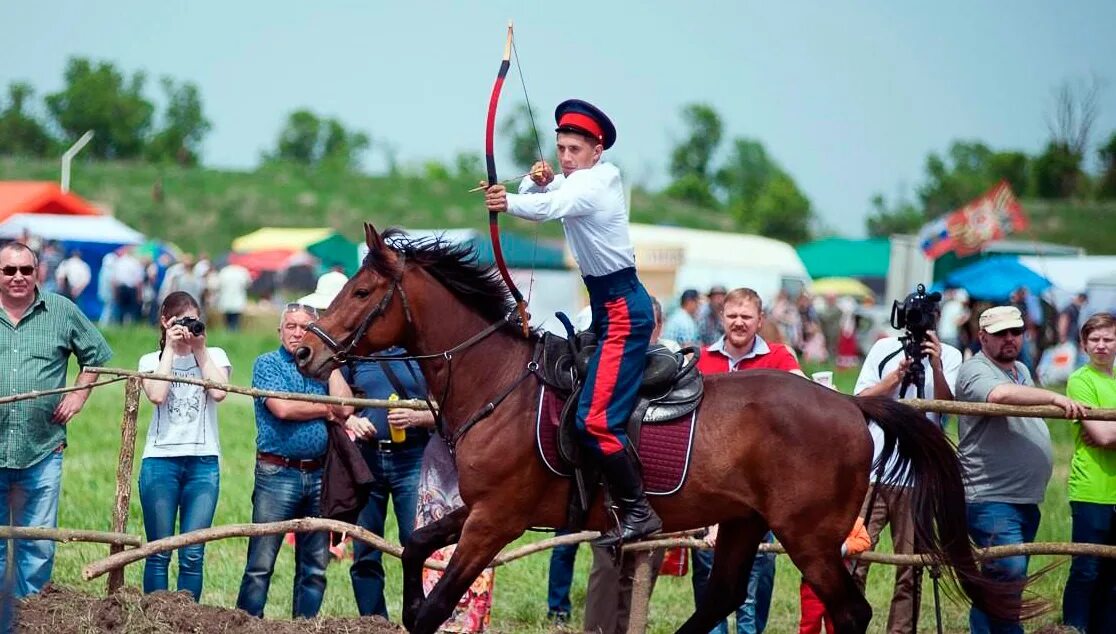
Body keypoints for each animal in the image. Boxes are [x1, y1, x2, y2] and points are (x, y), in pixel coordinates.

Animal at [292, 225, 1022, 629]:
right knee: (721, 599)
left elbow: (436, 606)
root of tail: (851, 405)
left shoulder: (495, 520)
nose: (304, 355)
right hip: (746, 522)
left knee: (849, 613)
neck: (498, 383)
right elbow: (416, 550)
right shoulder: (477, 511)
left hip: (809, 537)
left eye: (362, 292)